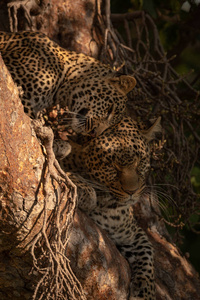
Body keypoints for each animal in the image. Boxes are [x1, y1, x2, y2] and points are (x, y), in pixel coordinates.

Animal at [54, 115, 161, 300]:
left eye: (140, 162)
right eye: (112, 165)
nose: (132, 191)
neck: (109, 206)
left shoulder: (132, 233)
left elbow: (148, 254)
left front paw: (145, 292)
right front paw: (85, 190)